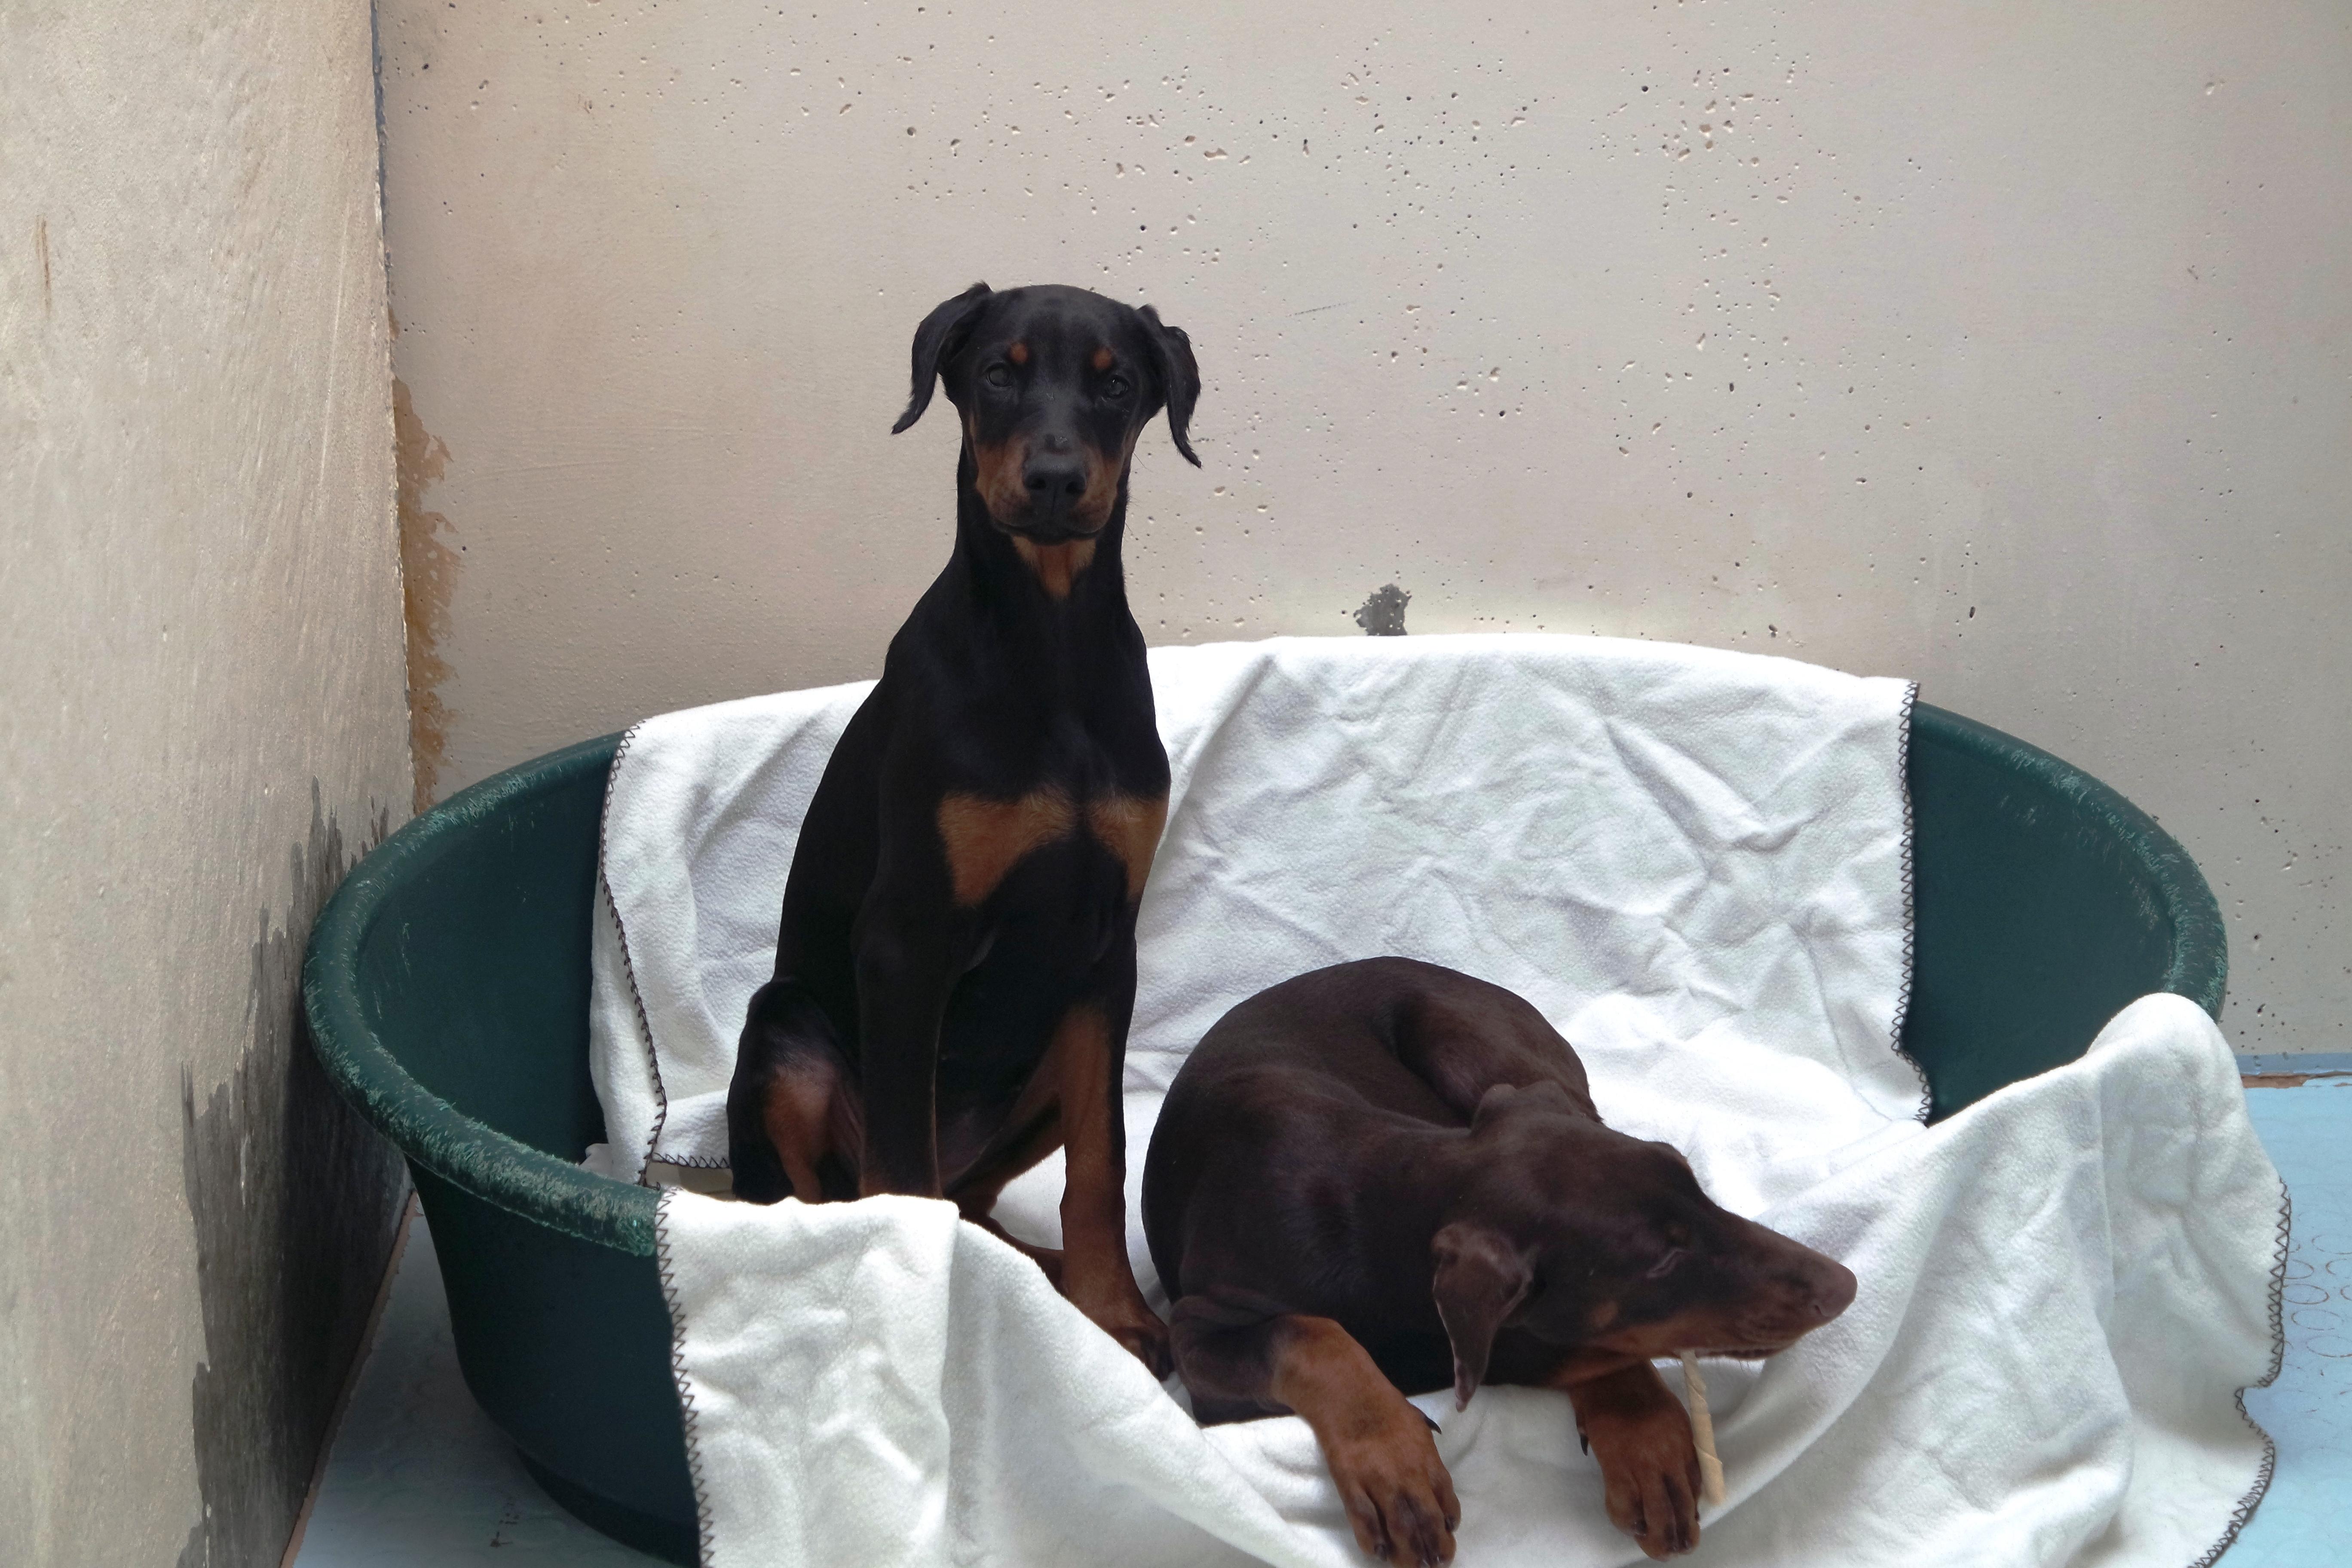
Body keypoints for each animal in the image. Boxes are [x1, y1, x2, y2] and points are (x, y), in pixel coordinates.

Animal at [725, 283, 1200, 1374]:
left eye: (1118, 384)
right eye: (996, 373)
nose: (1056, 479)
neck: (1051, 647)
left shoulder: (1105, 952)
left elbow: (1102, 1162)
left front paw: (1114, 1315)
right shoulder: (908, 941)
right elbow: (896, 1171)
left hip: (1041, 1055)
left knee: (973, 1198)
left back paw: (1043, 1274)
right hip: (788, 1032)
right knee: (822, 1200)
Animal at [1142, 958, 1858, 1564]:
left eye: (1693, 1180)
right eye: (1660, 1262)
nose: (1846, 1285)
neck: (1380, 1201)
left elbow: (1582, 1344)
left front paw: (1643, 1433)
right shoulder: (1199, 1341)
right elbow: (1311, 1335)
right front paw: (1395, 1468)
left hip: (1485, 1059)